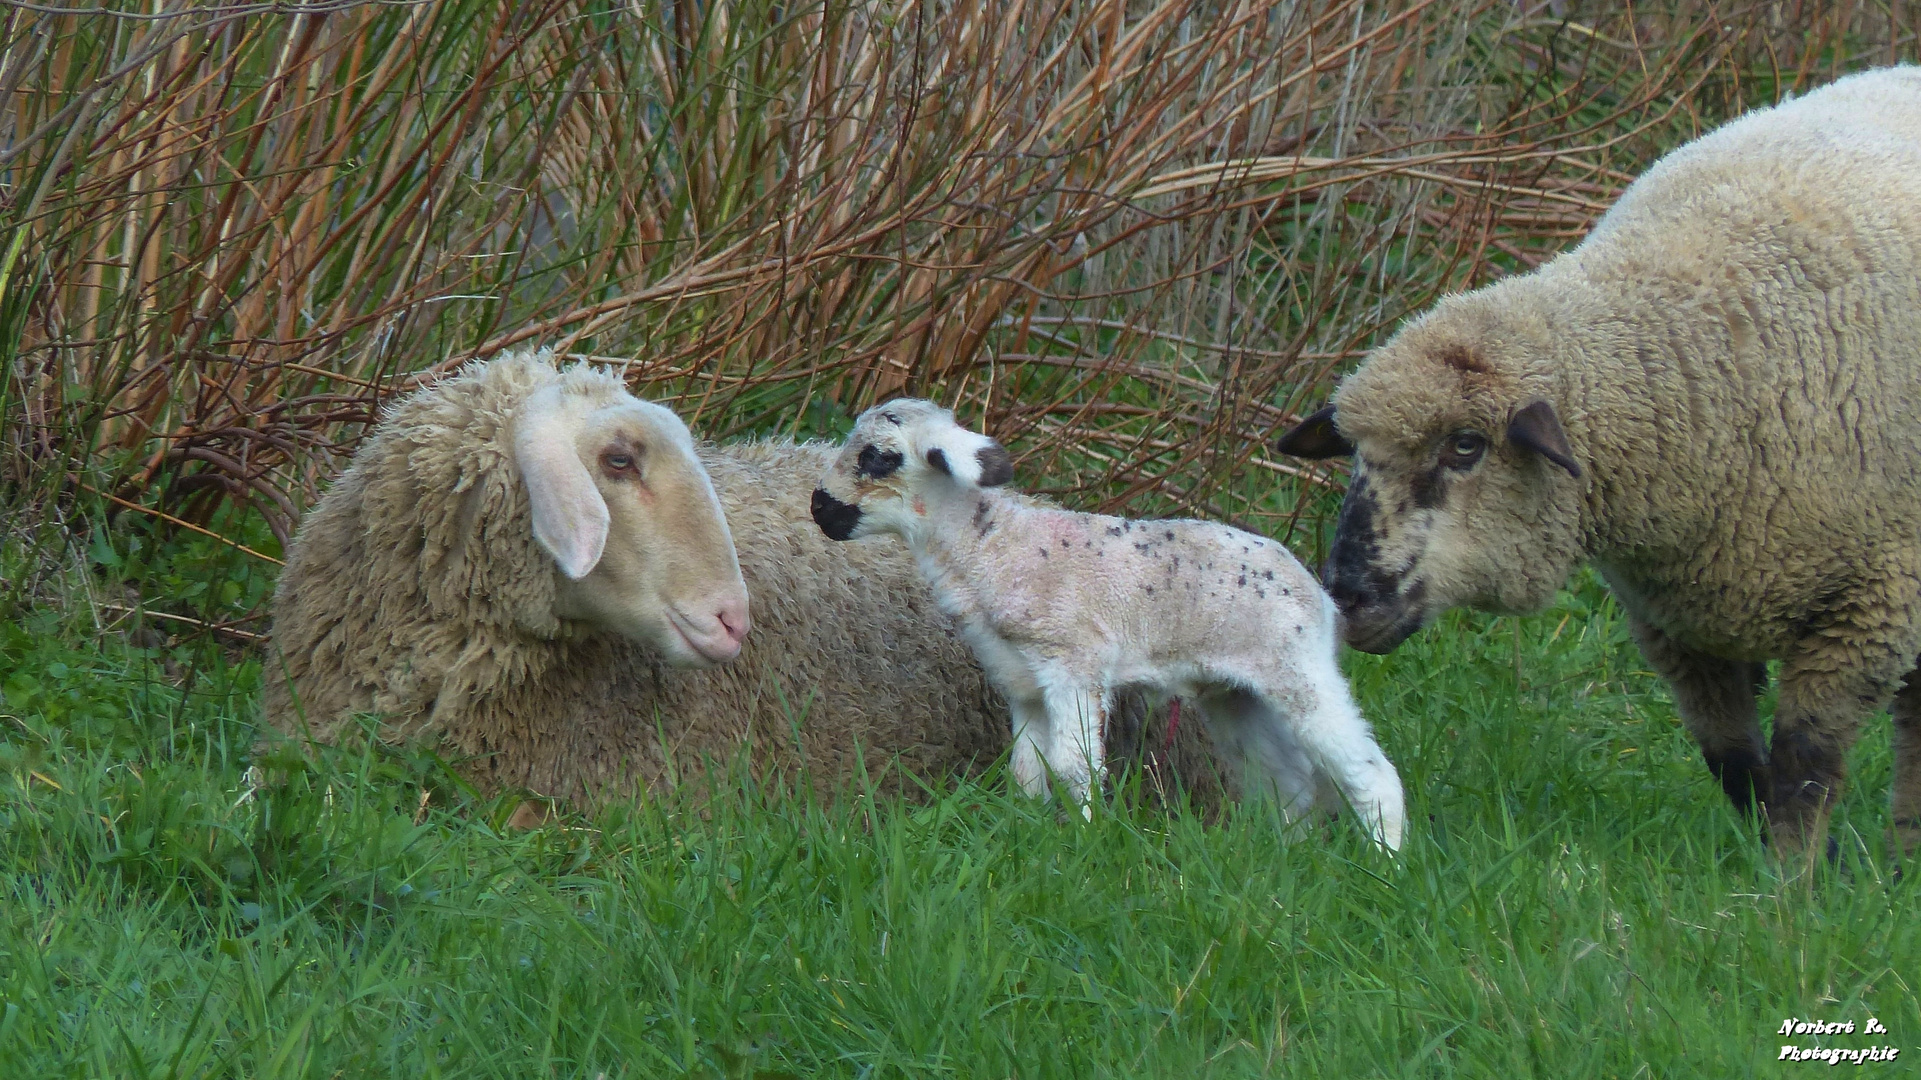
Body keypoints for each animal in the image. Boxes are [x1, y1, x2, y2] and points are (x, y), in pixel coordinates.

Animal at [802, 399, 1406, 845]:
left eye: (878, 458)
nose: (818, 509)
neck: (990, 547)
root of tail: (1319, 598)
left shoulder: (1073, 665)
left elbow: (1075, 767)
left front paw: (1084, 843)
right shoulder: (1022, 683)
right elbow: (1028, 772)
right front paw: (1030, 835)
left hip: (1297, 669)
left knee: (1371, 772)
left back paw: (1387, 864)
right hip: (1237, 692)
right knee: (1291, 781)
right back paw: (1286, 855)